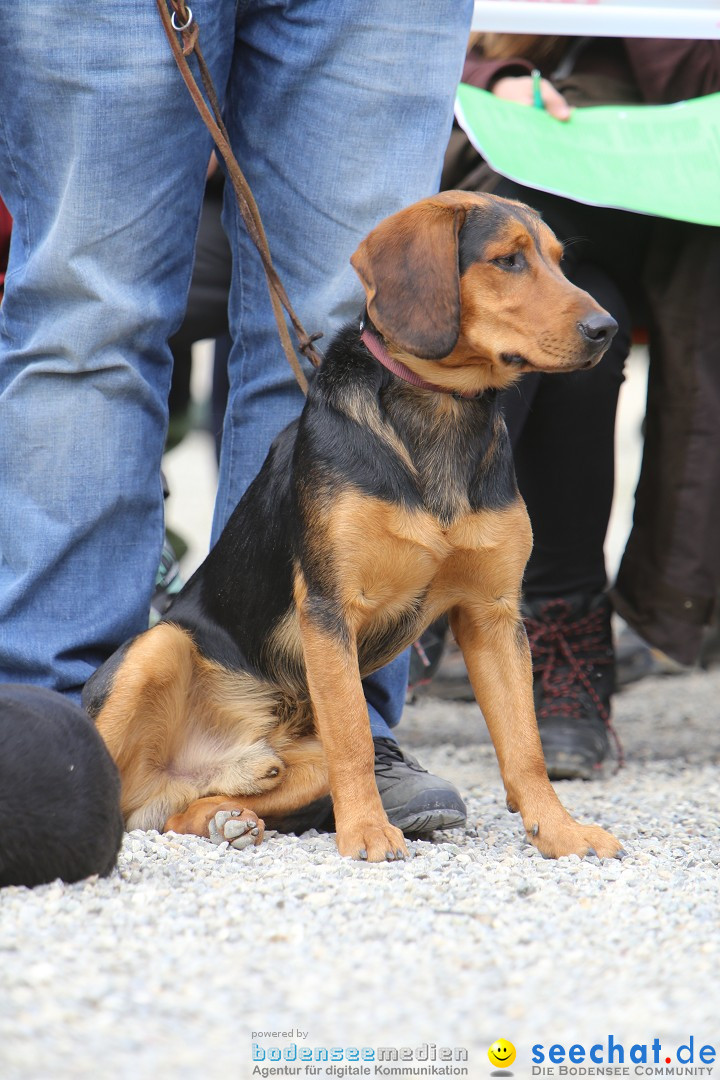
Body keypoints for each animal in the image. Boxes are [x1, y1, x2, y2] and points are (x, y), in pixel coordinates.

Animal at [83, 192, 626, 859]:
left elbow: (525, 748)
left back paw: (224, 818)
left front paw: (560, 829)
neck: (441, 410)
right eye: (508, 260)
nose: (607, 329)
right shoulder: (329, 606)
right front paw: (367, 830)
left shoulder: (494, 615)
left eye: (557, 260)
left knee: (169, 809)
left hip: (281, 768)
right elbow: (355, 740)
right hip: (157, 647)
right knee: (118, 784)